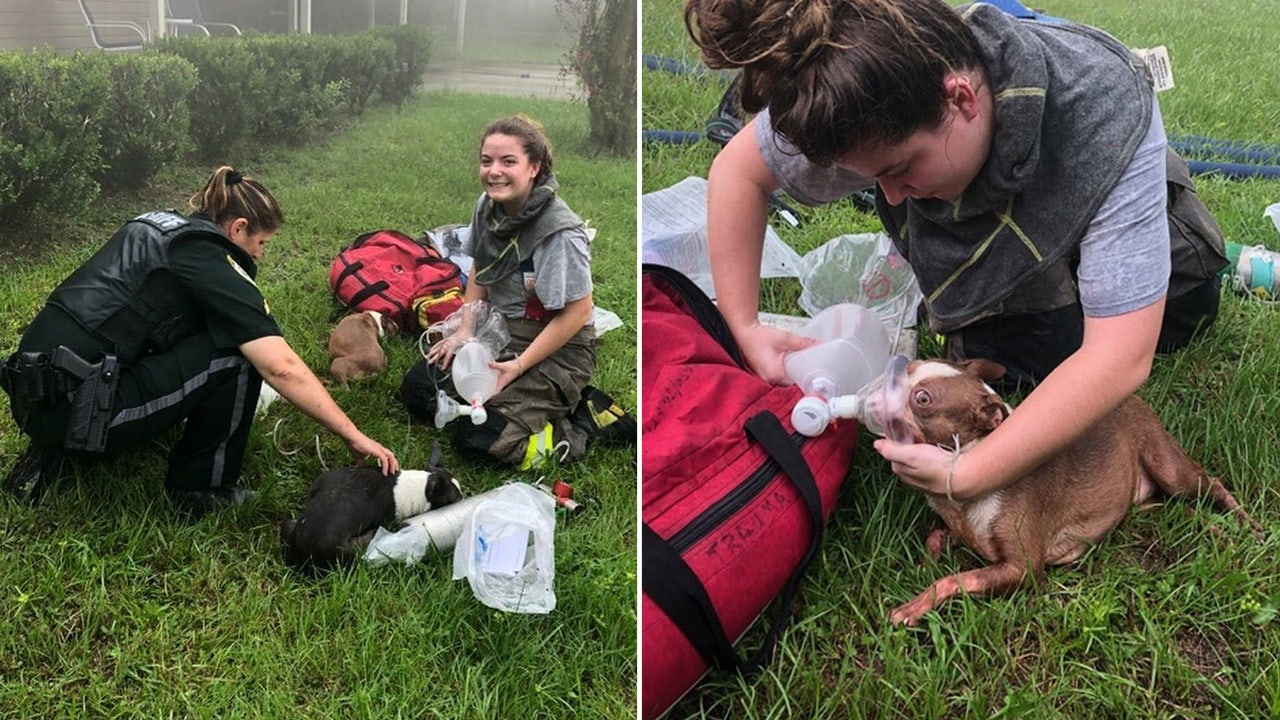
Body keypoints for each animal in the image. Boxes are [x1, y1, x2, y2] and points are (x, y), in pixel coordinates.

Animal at [281, 450, 465, 573]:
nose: (464, 498)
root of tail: (302, 549)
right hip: (359, 545)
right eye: (455, 499)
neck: (422, 486)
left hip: (290, 524)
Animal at [885, 356, 1254, 622]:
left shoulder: (1023, 570)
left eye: (922, 399)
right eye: (911, 367)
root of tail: (1132, 397)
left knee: (1211, 484)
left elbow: (956, 579)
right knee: (1177, 509)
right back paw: (1211, 528)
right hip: (1145, 503)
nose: (893, 376)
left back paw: (1245, 524)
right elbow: (936, 538)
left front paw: (916, 604)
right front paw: (925, 564)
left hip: (1168, 469)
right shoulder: (961, 529)